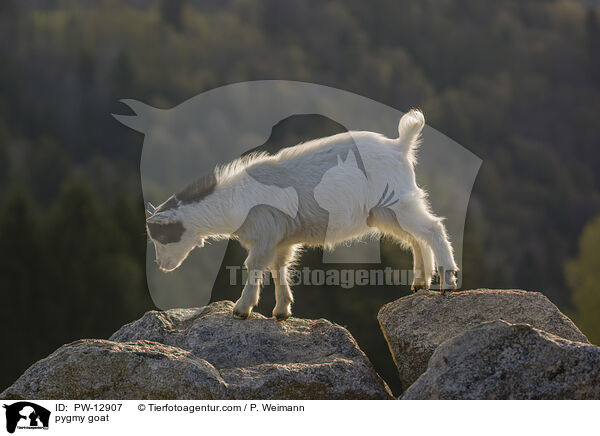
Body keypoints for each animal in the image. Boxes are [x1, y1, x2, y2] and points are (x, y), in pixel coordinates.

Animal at [146, 109, 460, 320]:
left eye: (163, 236)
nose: (162, 265)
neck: (237, 198)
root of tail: (400, 146)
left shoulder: (265, 234)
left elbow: (255, 266)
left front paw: (242, 309)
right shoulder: (281, 239)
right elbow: (279, 268)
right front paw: (282, 310)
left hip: (398, 202)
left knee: (433, 229)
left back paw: (447, 283)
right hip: (387, 212)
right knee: (416, 238)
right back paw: (420, 282)